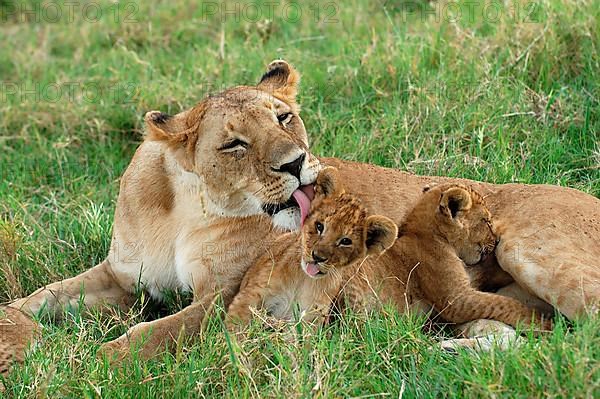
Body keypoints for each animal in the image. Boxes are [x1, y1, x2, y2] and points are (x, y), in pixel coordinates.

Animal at [5, 61, 600, 360]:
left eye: (284, 117)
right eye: (234, 144)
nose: (296, 164)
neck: (187, 205)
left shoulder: (221, 295)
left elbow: (153, 334)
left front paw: (81, 364)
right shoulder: (122, 277)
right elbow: (42, 297)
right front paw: (18, 331)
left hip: (533, 252)